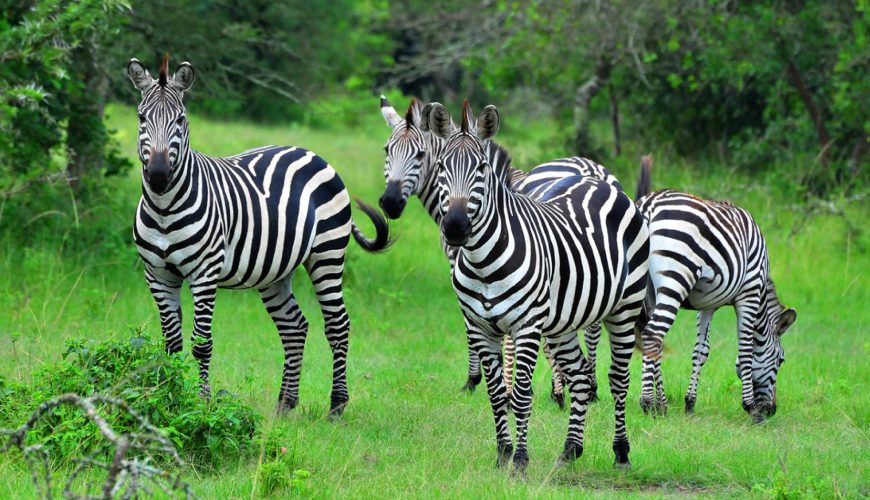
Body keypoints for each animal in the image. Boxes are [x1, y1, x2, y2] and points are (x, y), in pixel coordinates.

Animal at [126, 55, 392, 418]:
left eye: (181, 119)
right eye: (141, 117)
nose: (157, 175)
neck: (164, 207)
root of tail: (311, 153)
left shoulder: (204, 274)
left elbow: (201, 344)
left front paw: (202, 404)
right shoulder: (157, 275)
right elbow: (171, 344)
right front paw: (167, 398)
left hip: (327, 255)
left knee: (338, 325)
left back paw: (337, 405)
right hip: (276, 272)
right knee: (295, 327)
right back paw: (285, 404)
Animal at [382, 95, 620, 404]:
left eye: (420, 155)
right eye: (387, 150)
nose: (389, 203)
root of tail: (590, 169)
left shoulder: (470, 269)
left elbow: (479, 328)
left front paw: (478, 380)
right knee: (592, 324)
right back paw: (590, 387)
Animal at [428, 100, 648, 468]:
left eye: (482, 169)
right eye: (442, 167)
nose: (455, 227)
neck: (483, 263)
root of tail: (600, 181)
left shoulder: (526, 326)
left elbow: (520, 395)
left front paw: (519, 459)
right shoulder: (479, 327)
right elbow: (496, 394)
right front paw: (502, 454)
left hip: (625, 308)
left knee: (618, 380)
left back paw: (621, 451)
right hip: (563, 323)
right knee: (579, 377)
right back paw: (571, 449)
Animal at [632, 158, 796, 420]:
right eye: (781, 360)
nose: (771, 410)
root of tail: (649, 205)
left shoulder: (708, 305)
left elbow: (701, 351)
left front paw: (690, 403)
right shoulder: (749, 292)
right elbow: (746, 348)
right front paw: (750, 406)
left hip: (647, 289)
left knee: (650, 336)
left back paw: (662, 404)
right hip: (675, 278)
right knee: (652, 334)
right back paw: (648, 403)